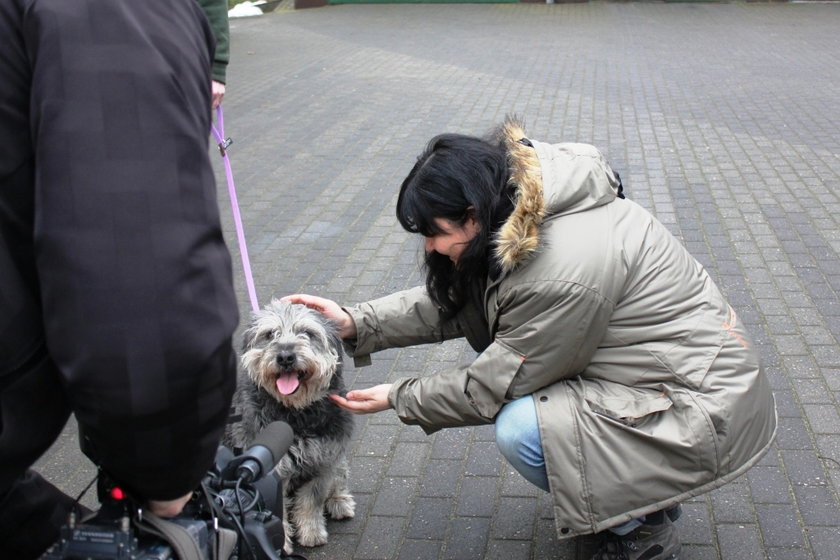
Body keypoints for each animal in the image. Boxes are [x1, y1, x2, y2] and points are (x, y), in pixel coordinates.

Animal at [223, 300, 354, 552]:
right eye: (269, 334)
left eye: (307, 333)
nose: (285, 357)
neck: (295, 412)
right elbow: (276, 511)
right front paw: (281, 545)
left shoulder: (322, 461)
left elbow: (313, 501)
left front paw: (311, 533)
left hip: (338, 457)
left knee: (340, 476)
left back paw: (340, 501)